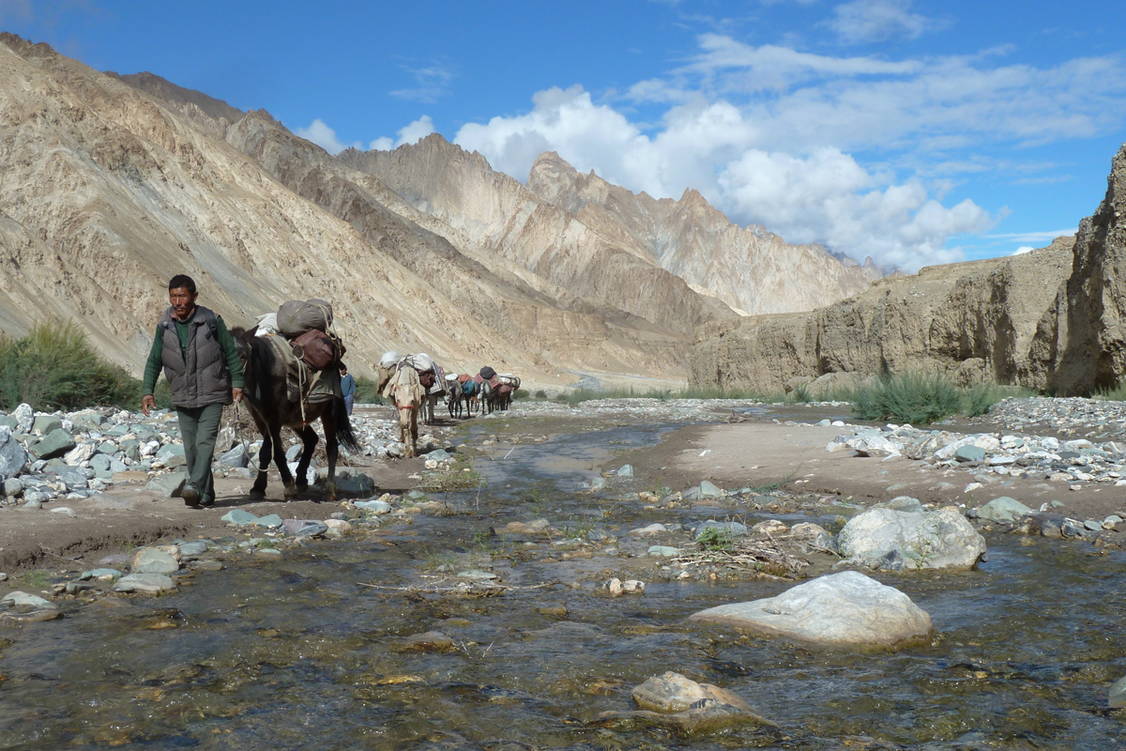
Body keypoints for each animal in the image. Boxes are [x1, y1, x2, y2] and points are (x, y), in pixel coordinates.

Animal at [226, 326, 353, 499]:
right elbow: (268, 452)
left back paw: (329, 489)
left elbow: (273, 452)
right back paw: (301, 480)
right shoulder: (260, 419)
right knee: (311, 440)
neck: (265, 373)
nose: (229, 386)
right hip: (297, 419)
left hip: (329, 413)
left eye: (243, 355)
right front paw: (258, 488)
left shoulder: (273, 420)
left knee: (332, 447)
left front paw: (287, 486)